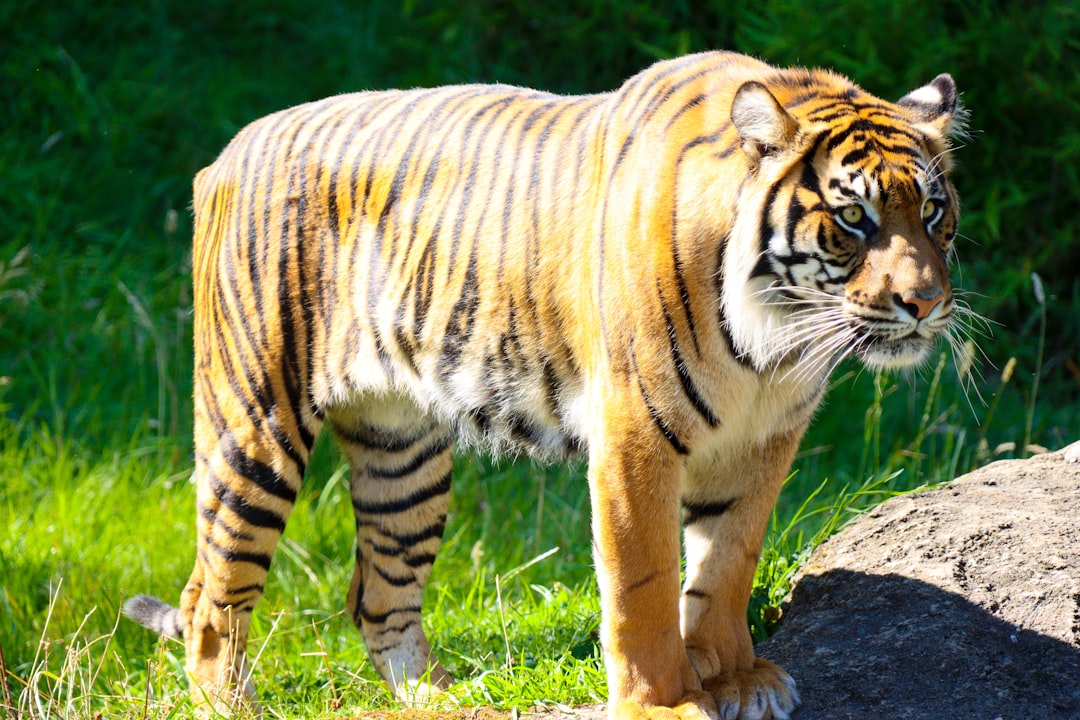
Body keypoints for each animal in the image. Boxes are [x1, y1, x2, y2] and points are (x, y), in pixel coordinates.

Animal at [125, 50, 966, 720]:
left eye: (932, 211)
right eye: (853, 219)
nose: (926, 304)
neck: (776, 337)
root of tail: (230, 149)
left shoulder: (764, 440)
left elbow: (727, 564)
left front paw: (736, 678)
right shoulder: (635, 437)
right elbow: (644, 582)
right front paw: (664, 702)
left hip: (403, 457)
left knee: (377, 597)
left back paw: (443, 700)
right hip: (254, 424)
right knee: (210, 596)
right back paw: (234, 706)